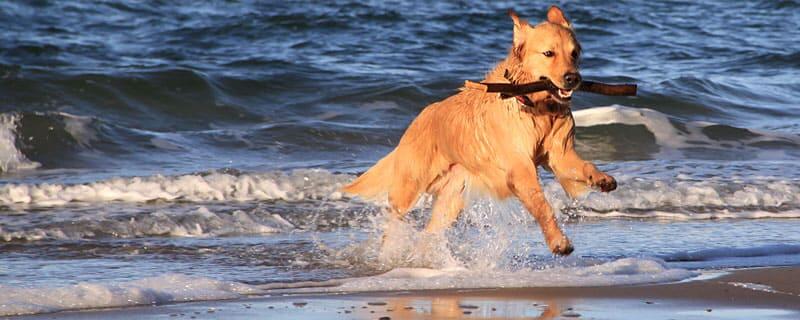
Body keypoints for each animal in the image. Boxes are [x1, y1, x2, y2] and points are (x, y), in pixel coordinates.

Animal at [344, 5, 620, 255]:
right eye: (548, 53)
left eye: (575, 53)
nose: (573, 78)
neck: (534, 105)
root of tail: (417, 120)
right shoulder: (520, 167)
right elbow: (542, 205)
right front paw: (558, 242)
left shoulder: (560, 155)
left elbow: (583, 165)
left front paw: (601, 178)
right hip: (409, 188)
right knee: (393, 220)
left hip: (452, 200)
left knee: (430, 231)